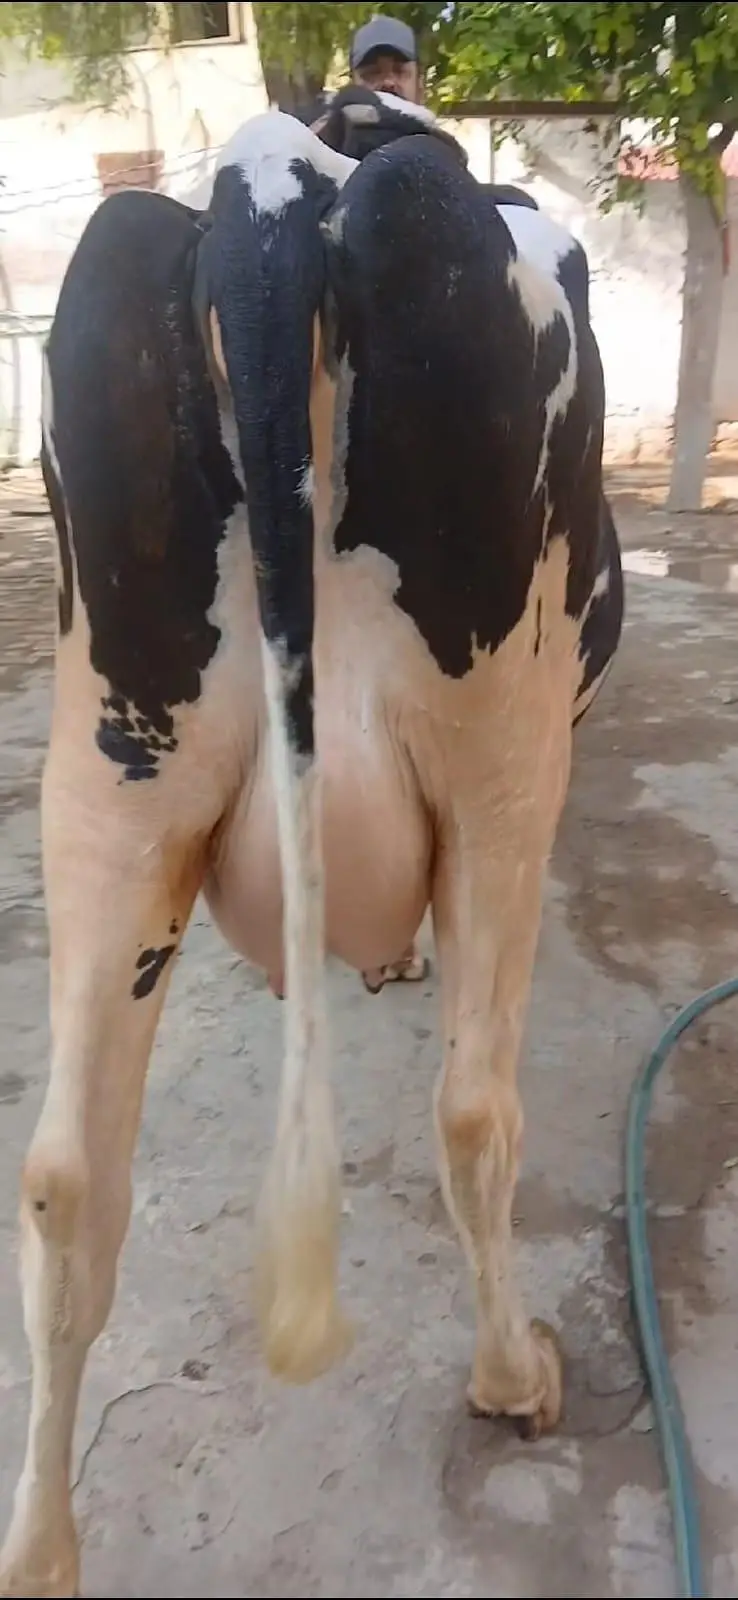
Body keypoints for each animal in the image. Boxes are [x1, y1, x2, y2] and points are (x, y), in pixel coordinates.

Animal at [0, 102, 623, 1598]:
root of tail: (276, 174)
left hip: (112, 773)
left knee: (64, 1183)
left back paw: (41, 1547)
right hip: (504, 752)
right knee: (475, 1110)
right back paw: (514, 1377)